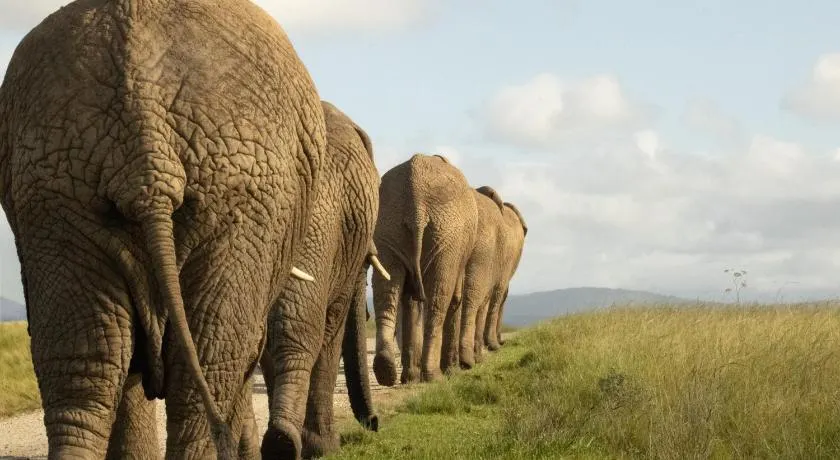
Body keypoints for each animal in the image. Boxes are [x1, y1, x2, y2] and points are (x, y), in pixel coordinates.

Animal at [371, 153, 478, 385]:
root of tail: (416, 204)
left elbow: (409, 300)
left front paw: (410, 377)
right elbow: (455, 299)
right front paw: (452, 372)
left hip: (387, 224)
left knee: (387, 289)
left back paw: (388, 371)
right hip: (446, 236)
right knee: (439, 299)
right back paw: (433, 376)